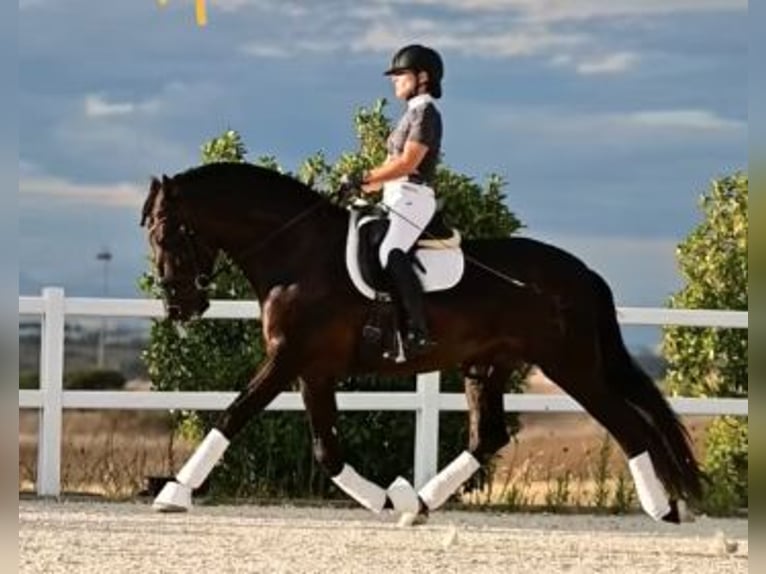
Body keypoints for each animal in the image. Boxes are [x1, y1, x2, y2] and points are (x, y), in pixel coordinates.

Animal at [141, 162, 704, 528]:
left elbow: (233, 414)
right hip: (488, 366)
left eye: (166, 236)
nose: (179, 307)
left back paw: (663, 508)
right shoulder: (313, 370)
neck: (297, 254)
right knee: (487, 437)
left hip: (571, 366)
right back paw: (418, 504)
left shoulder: (287, 359)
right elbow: (327, 450)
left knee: (628, 424)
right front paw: (386, 501)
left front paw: (173, 492)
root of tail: (582, 274)